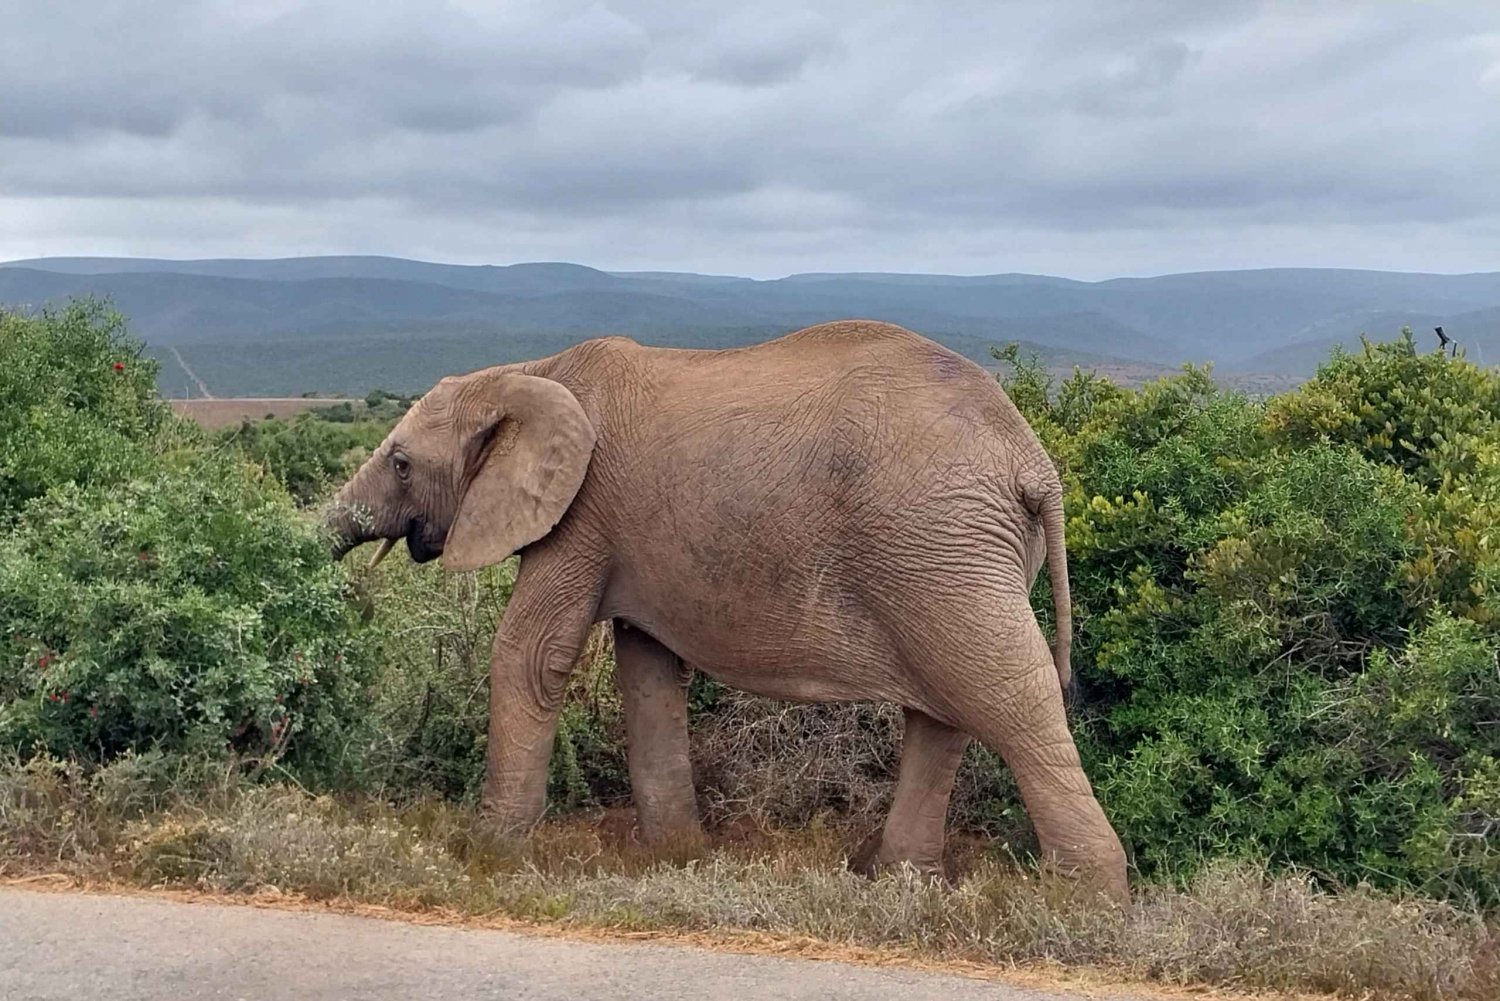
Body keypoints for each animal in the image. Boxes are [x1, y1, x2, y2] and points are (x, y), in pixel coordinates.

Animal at [325, 319, 1128, 900]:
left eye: (401, 463)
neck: (527, 373)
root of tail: (1033, 461)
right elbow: (649, 671)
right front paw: (676, 854)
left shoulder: (580, 514)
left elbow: (531, 655)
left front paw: (484, 853)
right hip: (951, 552)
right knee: (948, 710)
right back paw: (898, 883)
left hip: (940, 543)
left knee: (1006, 695)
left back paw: (1085, 903)